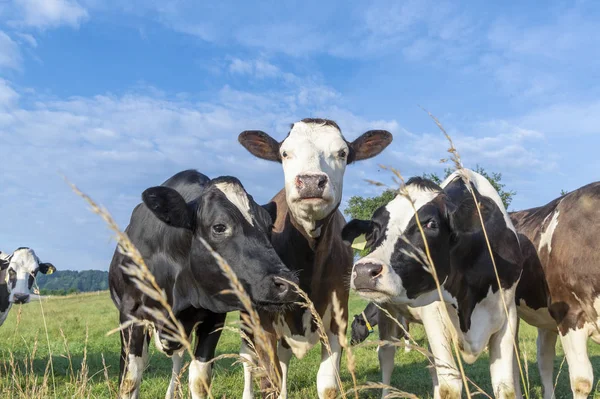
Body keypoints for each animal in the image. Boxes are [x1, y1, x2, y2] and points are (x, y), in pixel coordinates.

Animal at [108, 170, 300, 399]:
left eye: (269, 226)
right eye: (219, 227)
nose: (288, 283)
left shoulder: (213, 318)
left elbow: (200, 379)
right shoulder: (131, 314)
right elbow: (130, 379)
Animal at [239, 117, 394, 398]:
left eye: (342, 153)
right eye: (285, 153)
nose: (311, 181)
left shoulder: (337, 317)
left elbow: (327, 385)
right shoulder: (263, 323)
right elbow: (270, 379)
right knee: (248, 359)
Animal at [344, 170, 524, 399]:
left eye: (430, 223)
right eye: (375, 227)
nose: (364, 271)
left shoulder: (507, 315)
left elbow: (505, 386)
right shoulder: (434, 317)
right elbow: (450, 384)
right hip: (386, 309)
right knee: (386, 355)